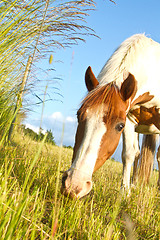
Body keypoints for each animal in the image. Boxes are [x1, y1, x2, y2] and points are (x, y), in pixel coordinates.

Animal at [62, 33, 160, 199]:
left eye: (119, 126)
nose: (74, 185)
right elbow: (129, 153)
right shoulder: (130, 117)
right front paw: (125, 192)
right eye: (78, 115)